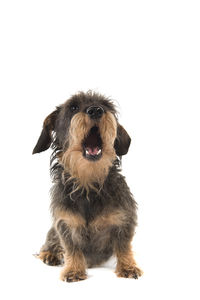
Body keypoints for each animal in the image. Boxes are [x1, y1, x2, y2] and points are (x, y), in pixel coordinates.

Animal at [32, 91, 142, 282]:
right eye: (73, 107)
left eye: (106, 106)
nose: (96, 110)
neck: (88, 183)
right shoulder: (65, 222)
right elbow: (72, 248)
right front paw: (73, 270)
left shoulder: (125, 219)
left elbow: (124, 246)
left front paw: (128, 267)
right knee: (51, 240)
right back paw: (50, 253)